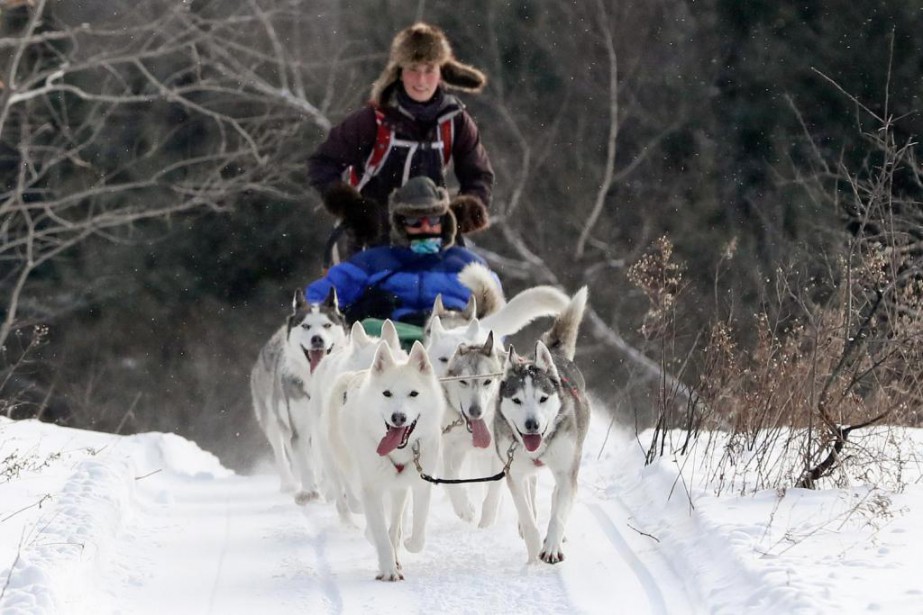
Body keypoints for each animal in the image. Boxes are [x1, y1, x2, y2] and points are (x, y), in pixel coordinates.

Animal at [251, 288, 348, 496]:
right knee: (280, 450)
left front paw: (326, 489)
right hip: (271, 419)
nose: (317, 339)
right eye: (306, 326)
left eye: (327, 325)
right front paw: (310, 491)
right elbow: (304, 463)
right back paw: (289, 484)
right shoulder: (299, 429)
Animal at [324, 342, 444, 584]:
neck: (399, 453)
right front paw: (388, 570)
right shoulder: (370, 489)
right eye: (387, 393)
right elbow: (380, 533)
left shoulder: (419, 484)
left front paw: (406, 545)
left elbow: (416, 531)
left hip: (397, 489)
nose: (398, 417)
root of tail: (352, 376)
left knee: (396, 521)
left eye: (413, 393)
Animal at [498, 286, 592, 564]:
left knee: (557, 494)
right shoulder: (514, 471)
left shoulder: (566, 468)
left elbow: (559, 513)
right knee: (532, 488)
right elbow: (526, 512)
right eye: (517, 400)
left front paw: (551, 546)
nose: (532, 424)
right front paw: (532, 548)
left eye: (542, 398)